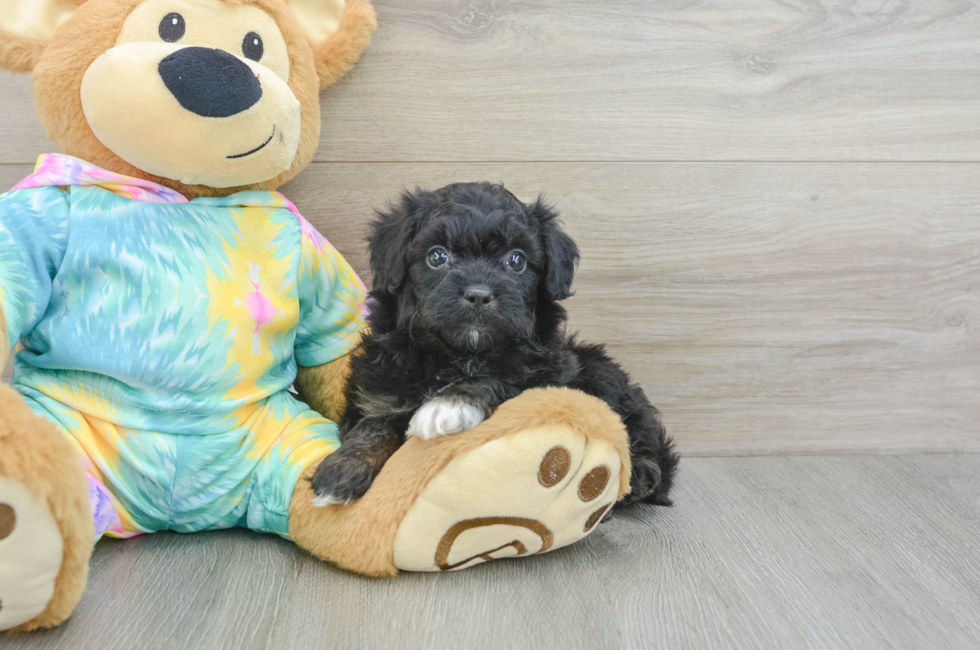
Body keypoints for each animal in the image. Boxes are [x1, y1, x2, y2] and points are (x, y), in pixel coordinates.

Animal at [310, 181, 676, 506]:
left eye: (516, 260)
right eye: (437, 256)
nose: (478, 294)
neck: (461, 354)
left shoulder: (546, 377)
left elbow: (498, 380)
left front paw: (450, 404)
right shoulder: (381, 390)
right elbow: (374, 424)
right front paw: (342, 469)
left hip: (601, 373)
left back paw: (641, 475)